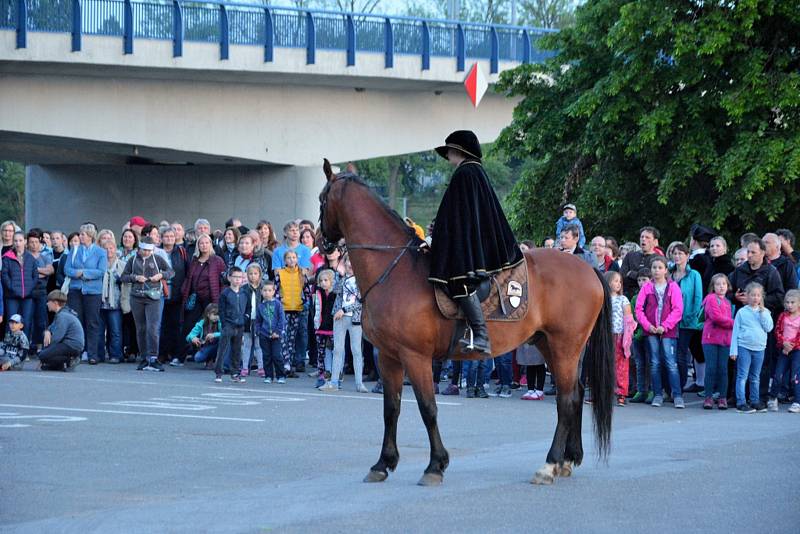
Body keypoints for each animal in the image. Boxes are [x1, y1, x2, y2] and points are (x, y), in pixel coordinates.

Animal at [318, 162, 612, 486]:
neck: (394, 271)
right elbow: (391, 409)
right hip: (550, 344)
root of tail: (589, 269)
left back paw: (550, 463)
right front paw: (383, 463)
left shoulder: (415, 356)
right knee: (577, 393)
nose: (320, 239)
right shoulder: (389, 356)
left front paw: (435, 465)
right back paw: (568, 459)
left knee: (567, 399)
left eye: (321, 199)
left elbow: (427, 408)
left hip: (564, 346)